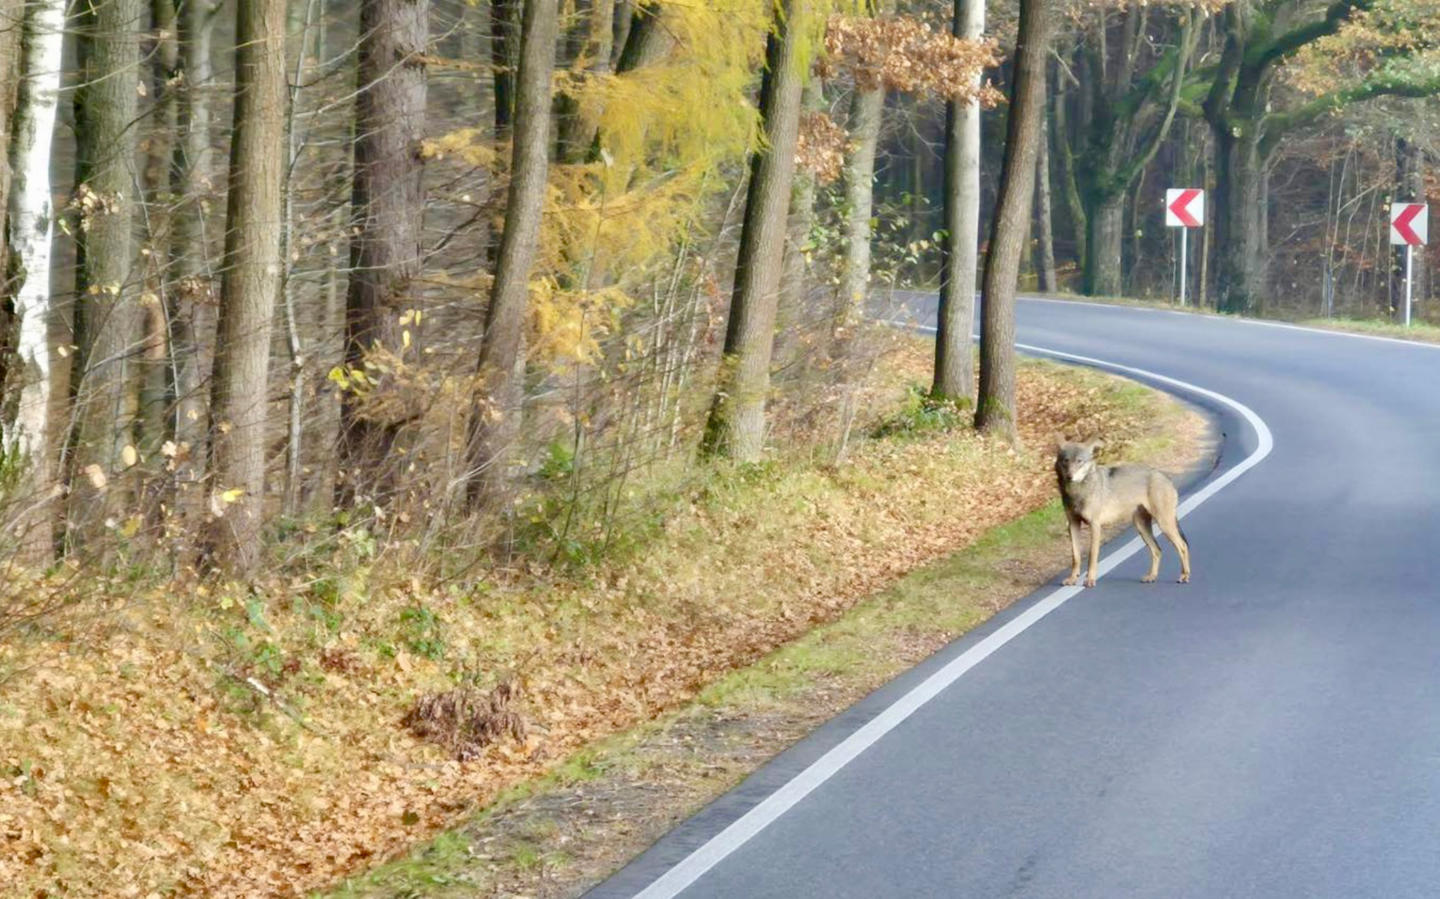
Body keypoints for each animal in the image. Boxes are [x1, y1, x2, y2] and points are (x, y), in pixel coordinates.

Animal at [1054, 437, 1186, 590]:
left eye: (1079, 461)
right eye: (1066, 461)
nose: (1070, 476)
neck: (1077, 491)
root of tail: (1165, 476)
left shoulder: (1095, 525)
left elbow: (1092, 556)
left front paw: (1090, 580)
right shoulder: (1073, 525)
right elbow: (1075, 556)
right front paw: (1072, 579)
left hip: (1164, 524)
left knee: (1182, 546)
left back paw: (1184, 576)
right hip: (1141, 527)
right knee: (1157, 550)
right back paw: (1151, 577)